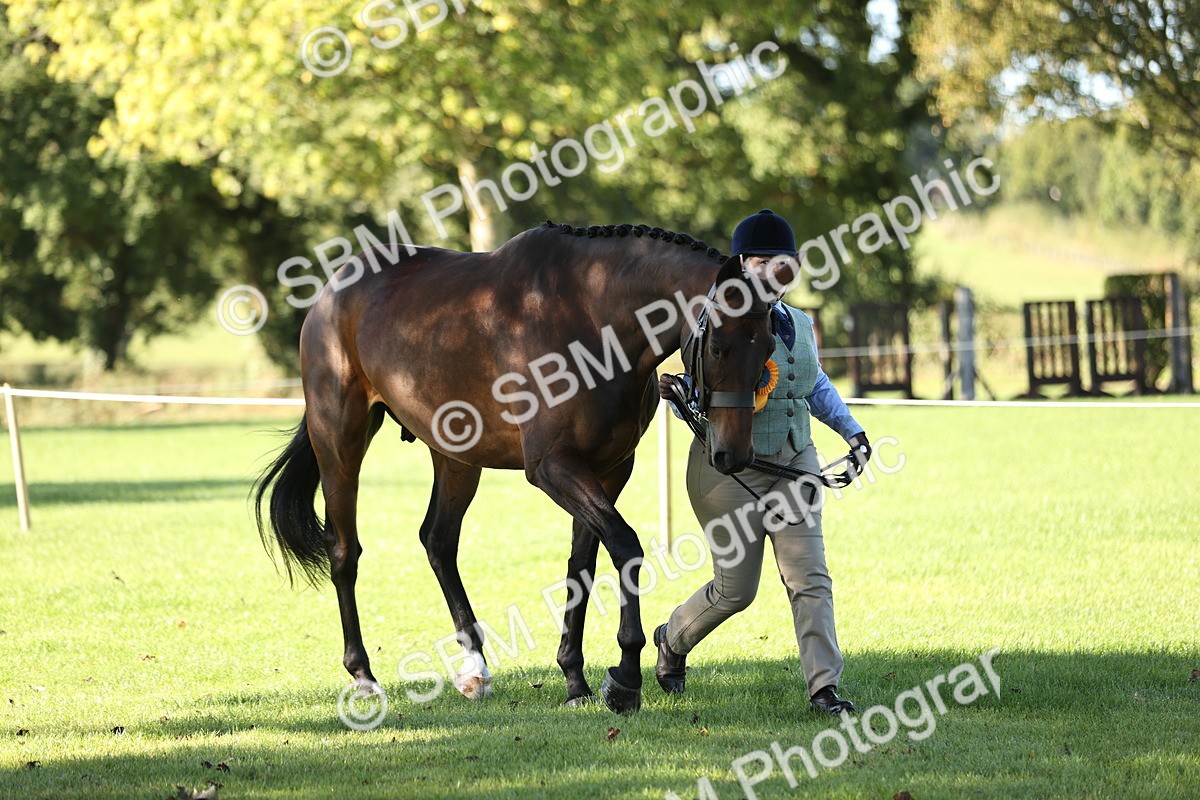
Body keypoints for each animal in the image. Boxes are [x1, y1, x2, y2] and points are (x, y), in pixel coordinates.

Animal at [253, 220, 793, 714]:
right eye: (718, 347)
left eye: (768, 349)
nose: (733, 455)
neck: (592, 319)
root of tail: (329, 296)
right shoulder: (553, 466)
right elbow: (624, 545)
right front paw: (625, 676)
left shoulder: (609, 469)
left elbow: (582, 564)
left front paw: (575, 680)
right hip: (340, 442)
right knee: (344, 552)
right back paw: (364, 677)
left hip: (455, 457)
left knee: (438, 541)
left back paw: (474, 669)